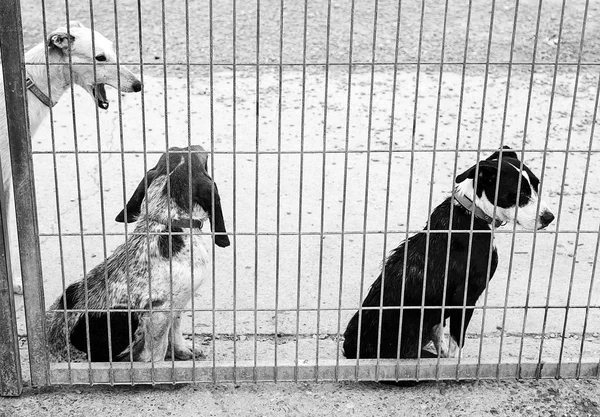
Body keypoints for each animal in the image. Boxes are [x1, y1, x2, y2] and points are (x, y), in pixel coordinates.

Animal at [46, 145, 230, 360]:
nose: (197, 146)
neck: (167, 222)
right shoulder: (159, 313)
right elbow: (157, 352)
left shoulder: (178, 302)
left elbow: (175, 329)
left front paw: (182, 350)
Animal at [344, 146, 556, 358]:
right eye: (520, 193)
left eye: (537, 185)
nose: (549, 218)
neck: (473, 212)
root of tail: (350, 349)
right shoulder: (465, 297)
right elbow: (456, 342)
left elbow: (439, 333)